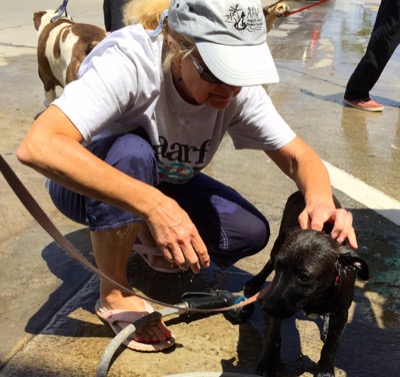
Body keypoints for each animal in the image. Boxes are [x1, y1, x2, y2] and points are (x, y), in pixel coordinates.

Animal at [245, 192, 370, 374]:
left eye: (304, 277)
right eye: (279, 266)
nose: (266, 308)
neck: (317, 296)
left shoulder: (341, 313)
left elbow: (331, 345)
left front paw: (325, 370)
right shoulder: (279, 306)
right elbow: (274, 336)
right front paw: (268, 362)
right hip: (278, 242)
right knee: (268, 261)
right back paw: (255, 283)